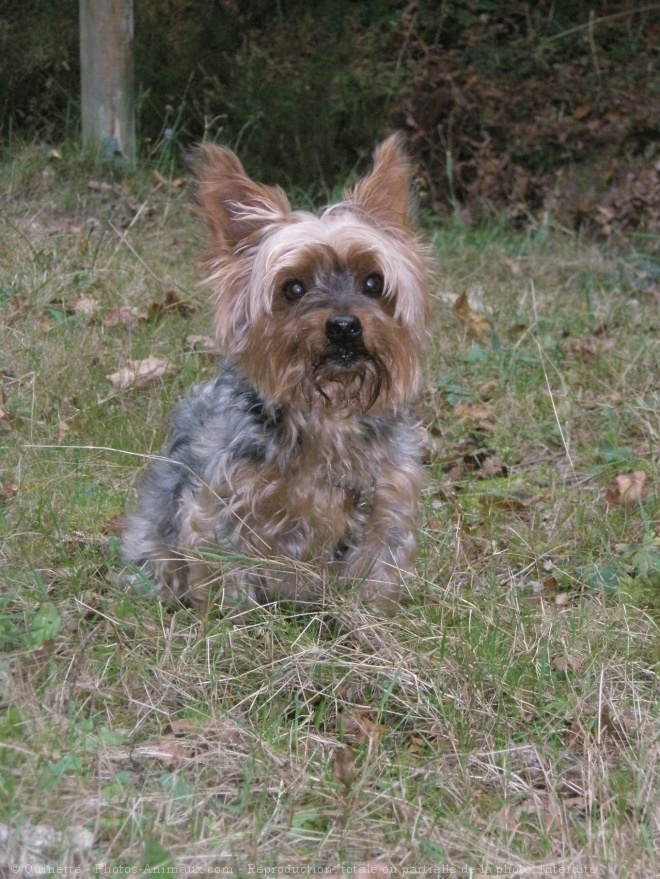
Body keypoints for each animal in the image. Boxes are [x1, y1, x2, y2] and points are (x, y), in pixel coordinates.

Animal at [122, 134, 434, 612]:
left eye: (372, 282)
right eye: (293, 288)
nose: (343, 326)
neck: (328, 411)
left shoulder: (384, 508)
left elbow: (372, 582)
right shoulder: (223, 508)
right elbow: (229, 578)